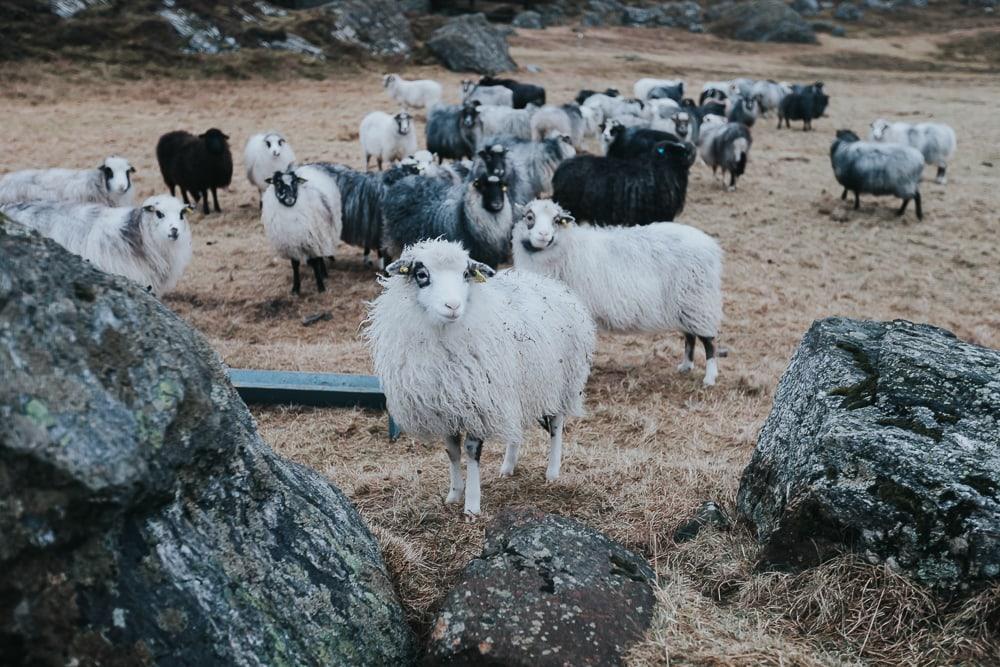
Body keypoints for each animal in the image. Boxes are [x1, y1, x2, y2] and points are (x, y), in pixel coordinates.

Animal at [261, 165, 343, 294]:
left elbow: (315, 262)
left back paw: (324, 274)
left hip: (321, 235)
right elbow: (295, 265)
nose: (289, 198)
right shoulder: (292, 245)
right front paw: (295, 289)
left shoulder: (312, 240)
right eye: (277, 183)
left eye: (294, 182)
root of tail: (308, 168)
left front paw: (321, 287)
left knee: (320, 256)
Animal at [365, 238, 596, 516]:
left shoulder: (479, 405)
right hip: (520, 388)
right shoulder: (445, 408)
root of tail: (548, 282)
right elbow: (453, 451)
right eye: (421, 275)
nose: (452, 306)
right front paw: (454, 495)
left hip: (562, 382)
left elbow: (472, 452)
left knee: (557, 425)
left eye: (466, 274)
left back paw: (552, 471)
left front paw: (472, 506)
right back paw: (508, 466)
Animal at [512, 199, 723, 386]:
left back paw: (709, 378)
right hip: (685, 303)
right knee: (690, 335)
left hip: (698, 300)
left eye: (556, 220)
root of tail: (710, 245)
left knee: (709, 341)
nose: (543, 234)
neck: (567, 249)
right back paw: (686, 366)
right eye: (529, 217)